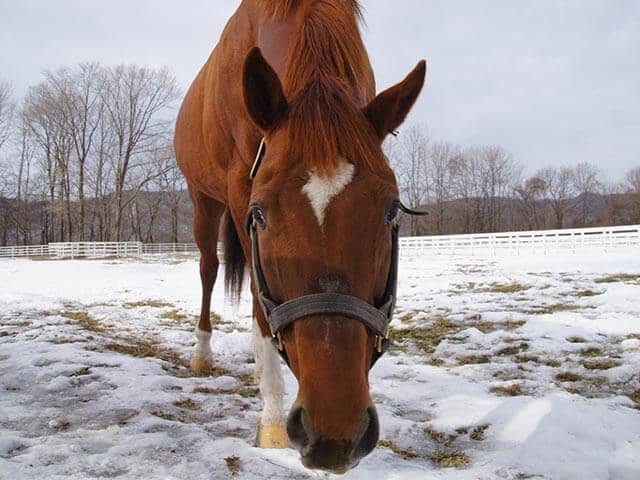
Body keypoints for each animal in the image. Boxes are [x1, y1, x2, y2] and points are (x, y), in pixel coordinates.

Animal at [175, 0, 426, 473]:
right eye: (260, 213)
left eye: (391, 210)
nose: (335, 435)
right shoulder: (239, 189)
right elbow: (258, 300)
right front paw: (271, 416)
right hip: (204, 201)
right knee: (209, 271)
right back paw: (204, 352)